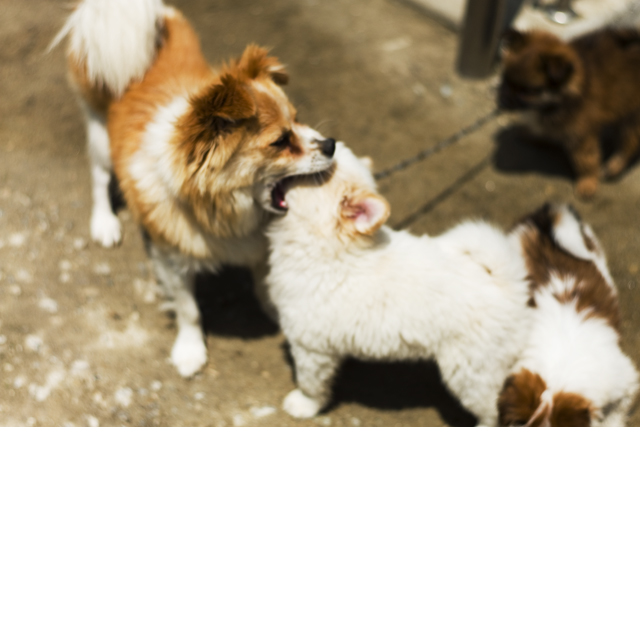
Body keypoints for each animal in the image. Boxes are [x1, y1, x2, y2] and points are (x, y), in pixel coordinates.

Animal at [53, 0, 335, 377]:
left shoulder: (258, 246)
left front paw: (275, 312)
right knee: (99, 177)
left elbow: (264, 284)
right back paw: (104, 224)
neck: (221, 211)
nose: (332, 144)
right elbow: (189, 310)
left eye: (299, 119)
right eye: (280, 142)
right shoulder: (171, 260)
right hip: (99, 133)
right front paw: (190, 350)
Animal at [266, 142, 532, 426]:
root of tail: (509, 285)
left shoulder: (310, 347)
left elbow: (311, 383)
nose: (329, 143)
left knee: (492, 409)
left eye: (313, 177)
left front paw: (304, 405)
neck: (327, 249)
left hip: (470, 371)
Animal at [498, 27, 640, 199]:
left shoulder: (580, 135)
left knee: (629, 143)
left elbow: (585, 160)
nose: (502, 101)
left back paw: (615, 165)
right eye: (505, 79)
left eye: (528, 91)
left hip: (632, 117)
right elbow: (546, 130)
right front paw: (532, 134)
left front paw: (588, 181)